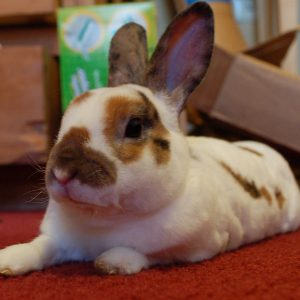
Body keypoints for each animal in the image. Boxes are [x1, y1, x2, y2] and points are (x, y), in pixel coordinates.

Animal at [0, 2, 300, 278]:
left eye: (134, 127)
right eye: (65, 118)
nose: (62, 172)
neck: (104, 220)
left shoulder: (197, 246)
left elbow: (148, 253)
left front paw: (111, 262)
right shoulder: (58, 239)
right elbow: (42, 246)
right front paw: (9, 259)